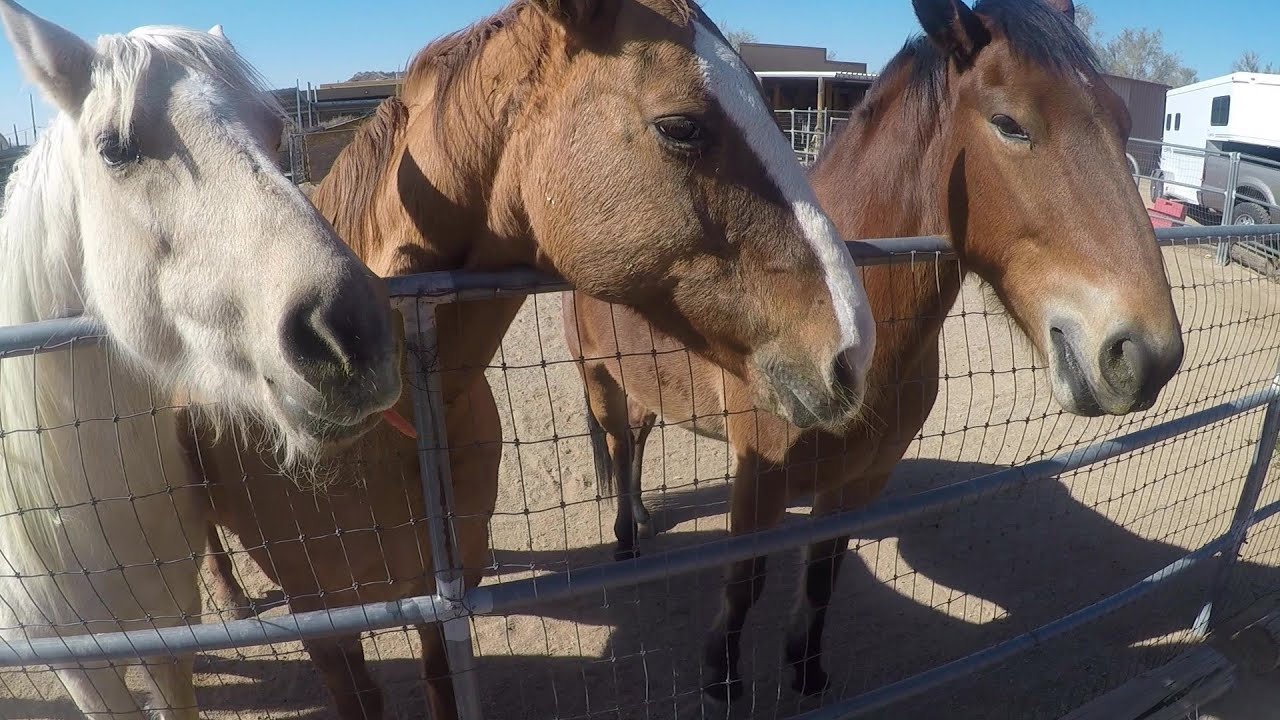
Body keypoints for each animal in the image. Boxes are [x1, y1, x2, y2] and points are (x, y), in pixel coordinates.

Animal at [563, 0, 1186, 702]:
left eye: (1124, 123)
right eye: (1010, 124)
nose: (1146, 354)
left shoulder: (862, 480)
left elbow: (823, 575)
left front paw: (806, 669)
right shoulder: (759, 480)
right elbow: (744, 582)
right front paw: (721, 677)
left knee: (638, 441)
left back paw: (642, 517)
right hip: (601, 380)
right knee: (620, 446)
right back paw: (625, 540)